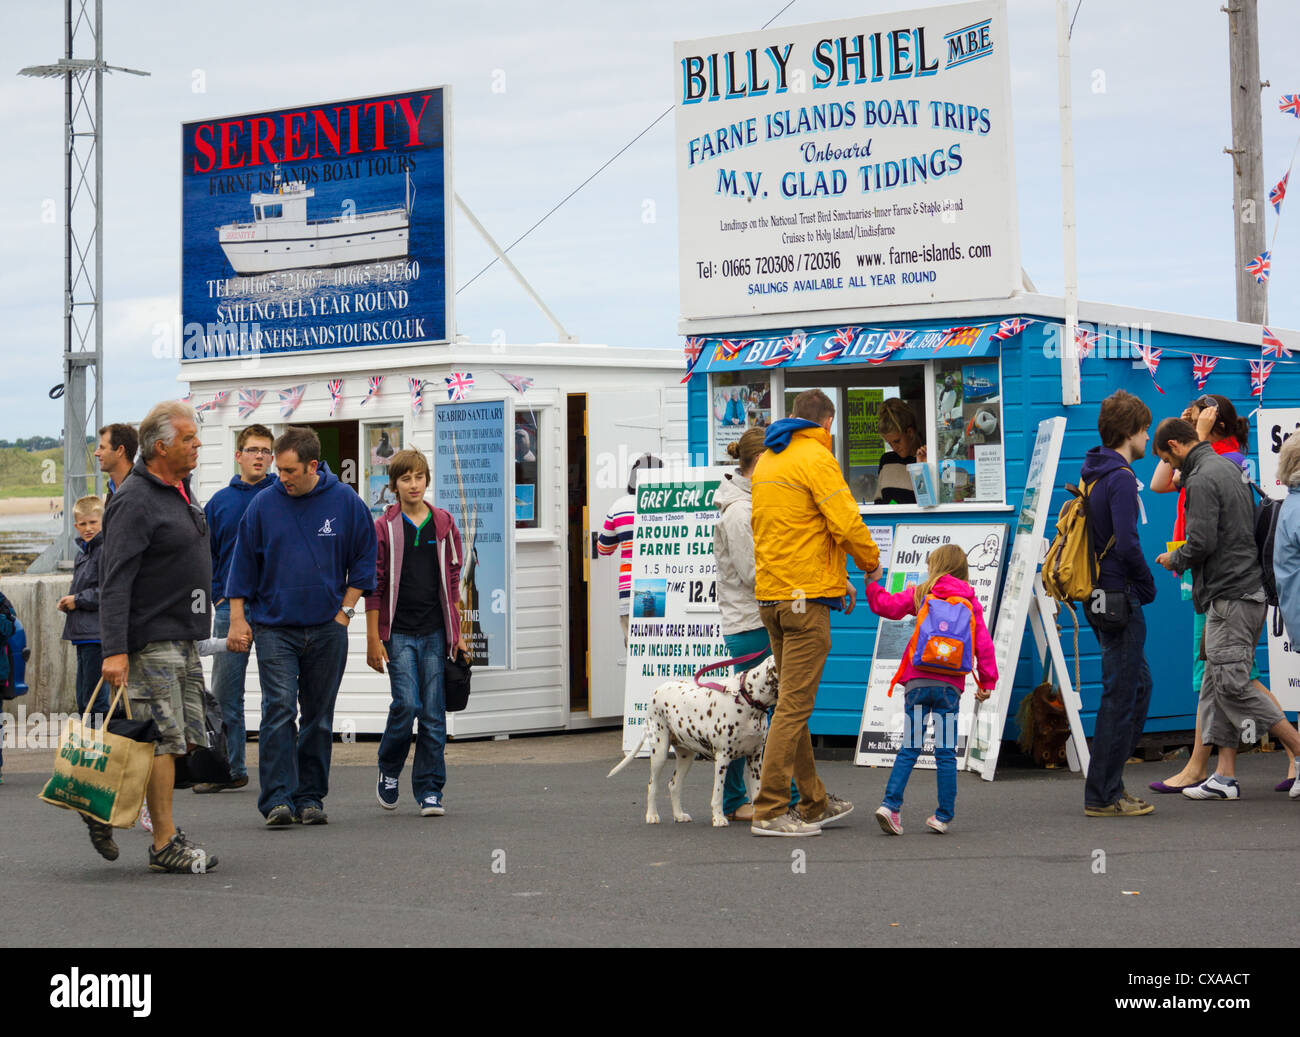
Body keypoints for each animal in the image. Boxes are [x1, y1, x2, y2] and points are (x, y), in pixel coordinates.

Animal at [605, 657, 774, 826]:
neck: (747, 699)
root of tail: (658, 690)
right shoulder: (722, 759)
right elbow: (718, 794)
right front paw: (719, 817)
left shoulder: (755, 760)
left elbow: (757, 792)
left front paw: (762, 821)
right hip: (659, 752)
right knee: (652, 785)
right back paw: (652, 815)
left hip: (686, 756)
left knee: (674, 785)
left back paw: (679, 815)